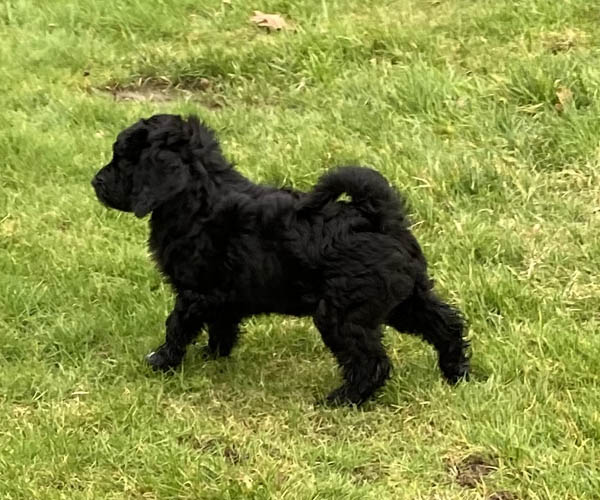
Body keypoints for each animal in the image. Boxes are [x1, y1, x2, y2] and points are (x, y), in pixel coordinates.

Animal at [92, 114, 469, 405]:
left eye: (122, 160)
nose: (95, 181)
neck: (199, 197)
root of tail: (379, 220)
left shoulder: (194, 292)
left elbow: (177, 326)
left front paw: (162, 361)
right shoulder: (222, 295)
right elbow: (221, 324)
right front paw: (214, 356)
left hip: (343, 314)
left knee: (370, 361)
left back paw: (345, 399)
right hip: (405, 299)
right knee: (446, 325)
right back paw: (456, 373)